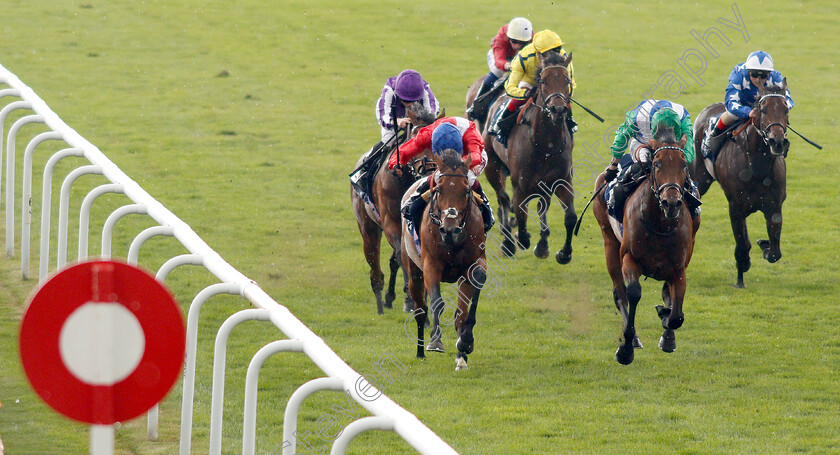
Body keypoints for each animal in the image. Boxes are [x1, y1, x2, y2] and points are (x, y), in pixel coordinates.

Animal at [352, 108, 436, 314]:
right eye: (415, 139)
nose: (428, 170)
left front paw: (417, 297)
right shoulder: (390, 221)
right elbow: (399, 253)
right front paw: (409, 297)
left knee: (393, 262)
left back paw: (390, 297)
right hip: (368, 227)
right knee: (375, 266)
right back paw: (380, 302)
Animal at [400, 150, 486, 370]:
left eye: (466, 191)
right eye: (439, 190)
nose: (449, 229)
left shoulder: (473, 263)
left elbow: (464, 310)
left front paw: (465, 345)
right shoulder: (431, 264)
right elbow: (437, 303)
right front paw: (435, 342)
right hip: (413, 270)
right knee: (420, 310)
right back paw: (420, 352)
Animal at [482, 51, 576, 264]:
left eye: (566, 80)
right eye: (543, 81)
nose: (558, 109)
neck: (546, 144)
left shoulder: (562, 180)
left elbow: (570, 217)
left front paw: (563, 253)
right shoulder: (521, 185)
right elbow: (520, 215)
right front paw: (520, 237)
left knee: (541, 204)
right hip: (492, 166)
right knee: (503, 198)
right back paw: (508, 242)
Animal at [592, 125, 704, 366]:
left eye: (683, 165)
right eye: (657, 164)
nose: (671, 203)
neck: (660, 224)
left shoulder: (679, 268)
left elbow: (677, 314)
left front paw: (667, 328)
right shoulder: (629, 258)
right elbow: (633, 293)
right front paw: (626, 348)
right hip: (609, 242)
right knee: (620, 293)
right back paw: (632, 338)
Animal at [688, 81, 788, 288]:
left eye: (785, 109)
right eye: (763, 110)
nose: (777, 141)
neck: (757, 167)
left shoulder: (774, 207)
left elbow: (775, 252)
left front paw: (764, 245)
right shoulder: (736, 208)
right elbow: (742, 245)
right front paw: (741, 274)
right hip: (699, 177)